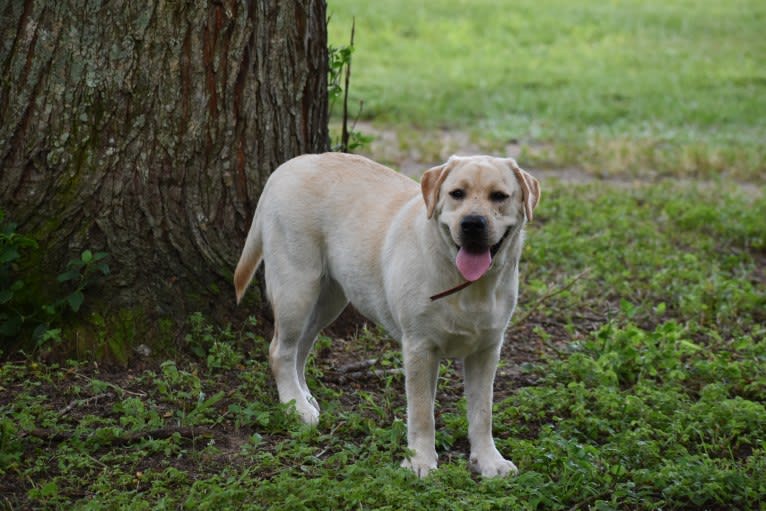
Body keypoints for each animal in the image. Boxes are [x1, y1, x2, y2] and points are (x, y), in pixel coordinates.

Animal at [234, 153, 540, 480]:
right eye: (457, 193)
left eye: (499, 196)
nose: (472, 224)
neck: (467, 284)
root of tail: (286, 166)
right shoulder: (419, 347)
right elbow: (422, 412)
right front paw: (420, 462)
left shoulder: (487, 350)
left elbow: (483, 413)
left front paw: (489, 461)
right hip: (297, 288)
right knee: (280, 350)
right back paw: (296, 406)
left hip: (328, 299)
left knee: (300, 348)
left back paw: (304, 396)